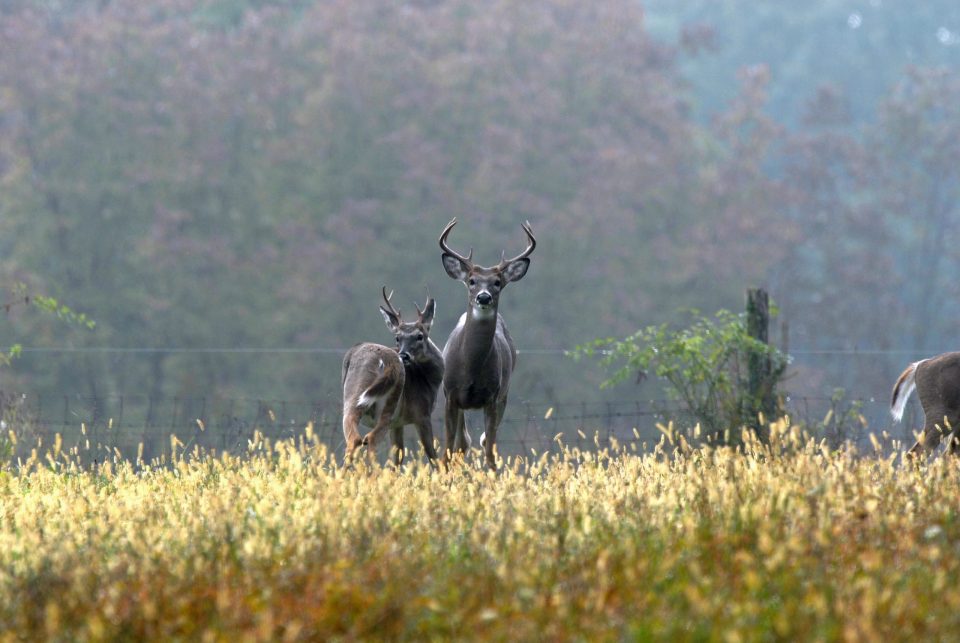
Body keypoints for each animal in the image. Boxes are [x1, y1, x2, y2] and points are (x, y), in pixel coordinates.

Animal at [342, 286, 442, 462]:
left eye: (419, 336)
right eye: (397, 337)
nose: (404, 355)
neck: (429, 381)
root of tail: (383, 360)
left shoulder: (398, 424)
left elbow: (398, 458)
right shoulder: (422, 414)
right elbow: (433, 457)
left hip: (352, 397)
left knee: (354, 438)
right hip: (389, 404)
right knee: (370, 438)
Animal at [440, 219, 536, 470]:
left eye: (497, 282)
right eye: (471, 281)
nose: (483, 297)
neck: (471, 369)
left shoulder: (492, 397)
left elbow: (490, 453)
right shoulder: (450, 395)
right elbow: (447, 451)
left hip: (504, 394)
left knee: (481, 442)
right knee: (461, 443)